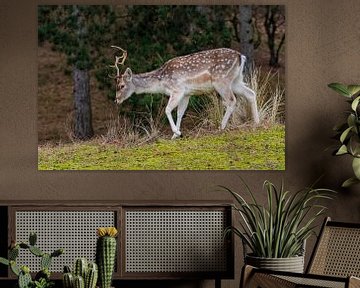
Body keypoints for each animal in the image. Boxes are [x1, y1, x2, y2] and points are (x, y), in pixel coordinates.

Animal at [109, 45, 258, 140]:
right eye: (116, 85)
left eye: (121, 86)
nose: (116, 100)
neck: (162, 81)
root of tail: (241, 56)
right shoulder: (187, 94)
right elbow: (180, 113)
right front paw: (175, 135)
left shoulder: (177, 89)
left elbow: (168, 110)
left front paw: (177, 132)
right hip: (236, 81)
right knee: (251, 93)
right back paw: (257, 122)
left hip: (221, 81)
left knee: (232, 100)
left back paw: (221, 127)